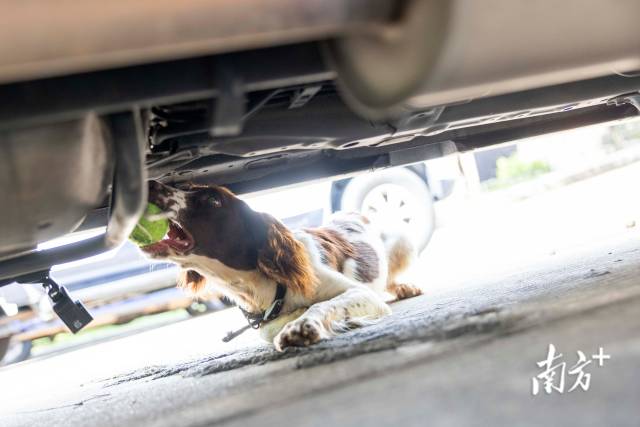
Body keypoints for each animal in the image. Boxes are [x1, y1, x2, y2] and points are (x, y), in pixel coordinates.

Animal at [142, 181, 422, 352]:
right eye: (186, 187)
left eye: (214, 201)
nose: (150, 183)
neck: (262, 285)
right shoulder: (262, 323)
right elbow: (272, 328)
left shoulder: (360, 292)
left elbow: (323, 305)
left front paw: (302, 326)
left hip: (404, 240)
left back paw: (405, 286)